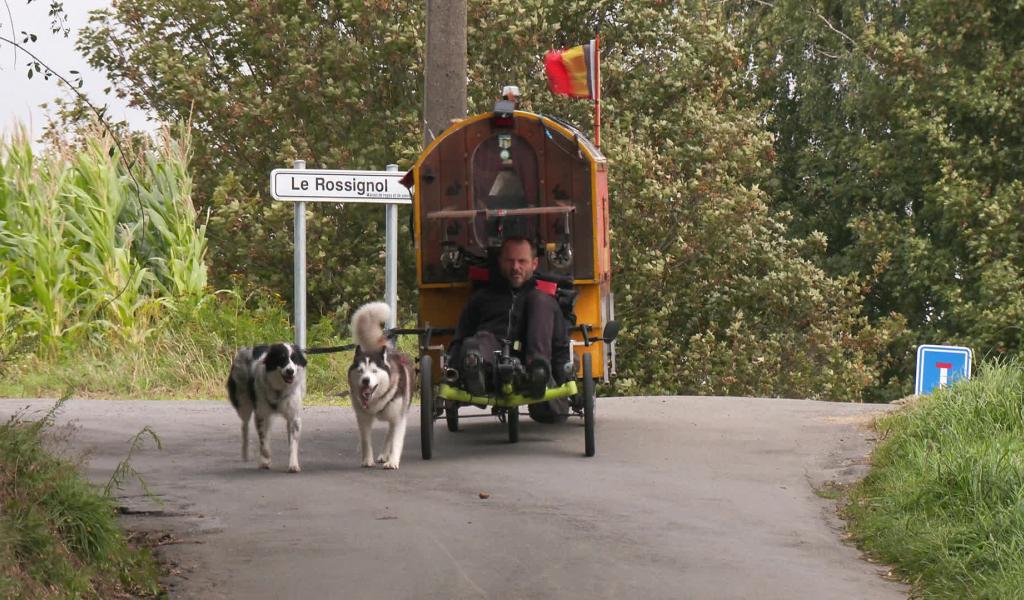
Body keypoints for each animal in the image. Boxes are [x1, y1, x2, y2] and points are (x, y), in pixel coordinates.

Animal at [350, 301, 413, 468]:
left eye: (374, 371)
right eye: (360, 371)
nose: (365, 380)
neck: (376, 401)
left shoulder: (399, 418)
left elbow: (396, 440)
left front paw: (393, 461)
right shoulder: (363, 418)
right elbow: (366, 441)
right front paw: (367, 460)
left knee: (390, 434)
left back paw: (387, 456)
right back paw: (383, 455)